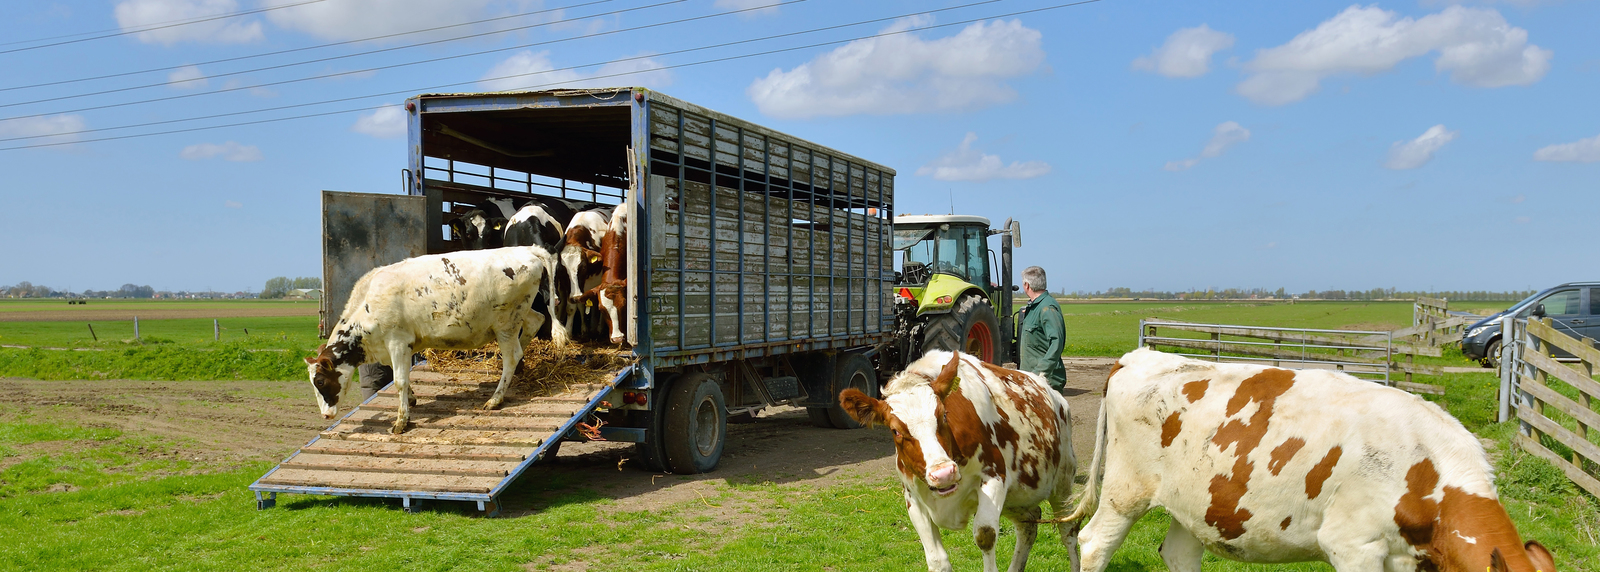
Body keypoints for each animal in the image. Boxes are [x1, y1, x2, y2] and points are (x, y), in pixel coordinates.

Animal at [304, 246, 556, 434]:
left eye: (320, 382)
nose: (325, 415)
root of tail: (527, 249)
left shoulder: (398, 342)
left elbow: (399, 381)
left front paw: (401, 421)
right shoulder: (392, 348)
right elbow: (402, 379)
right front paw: (412, 399)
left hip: (506, 322)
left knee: (511, 356)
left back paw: (496, 398)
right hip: (519, 315)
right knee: (535, 322)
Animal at [838, 348, 1075, 572]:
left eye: (943, 415)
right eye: (895, 430)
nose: (943, 474)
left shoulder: (994, 476)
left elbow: (985, 535)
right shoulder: (913, 498)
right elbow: (937, 561)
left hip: (1062, 483)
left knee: (1068, 531)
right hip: (1016, 498)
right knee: (1028, 525)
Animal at [1062, 346, 1561, 572]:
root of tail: (1139, 355)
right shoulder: (1352, 545)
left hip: (1194, 502)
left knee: (1180, 555)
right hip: (1126, 490)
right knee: (1094, 543)